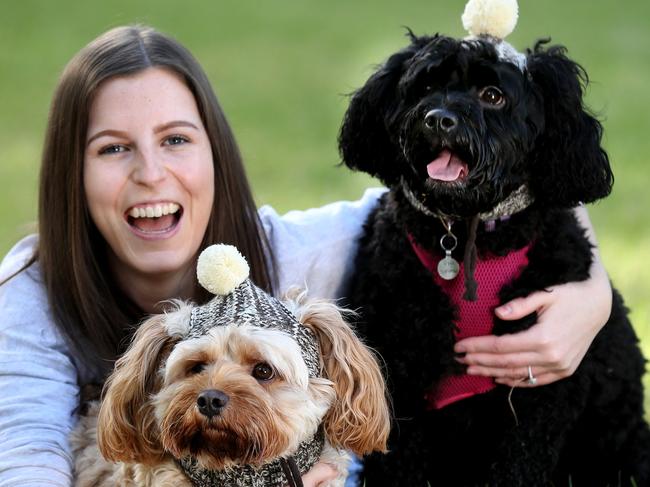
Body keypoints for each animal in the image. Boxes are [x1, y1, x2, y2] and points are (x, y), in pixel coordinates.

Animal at [340, 32, 648, 486]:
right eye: (426, 86)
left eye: (493, 96)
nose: (438, 119)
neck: (467, 234)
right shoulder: (398, 366)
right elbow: (397, 459)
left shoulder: (541, 393)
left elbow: (519, 463)